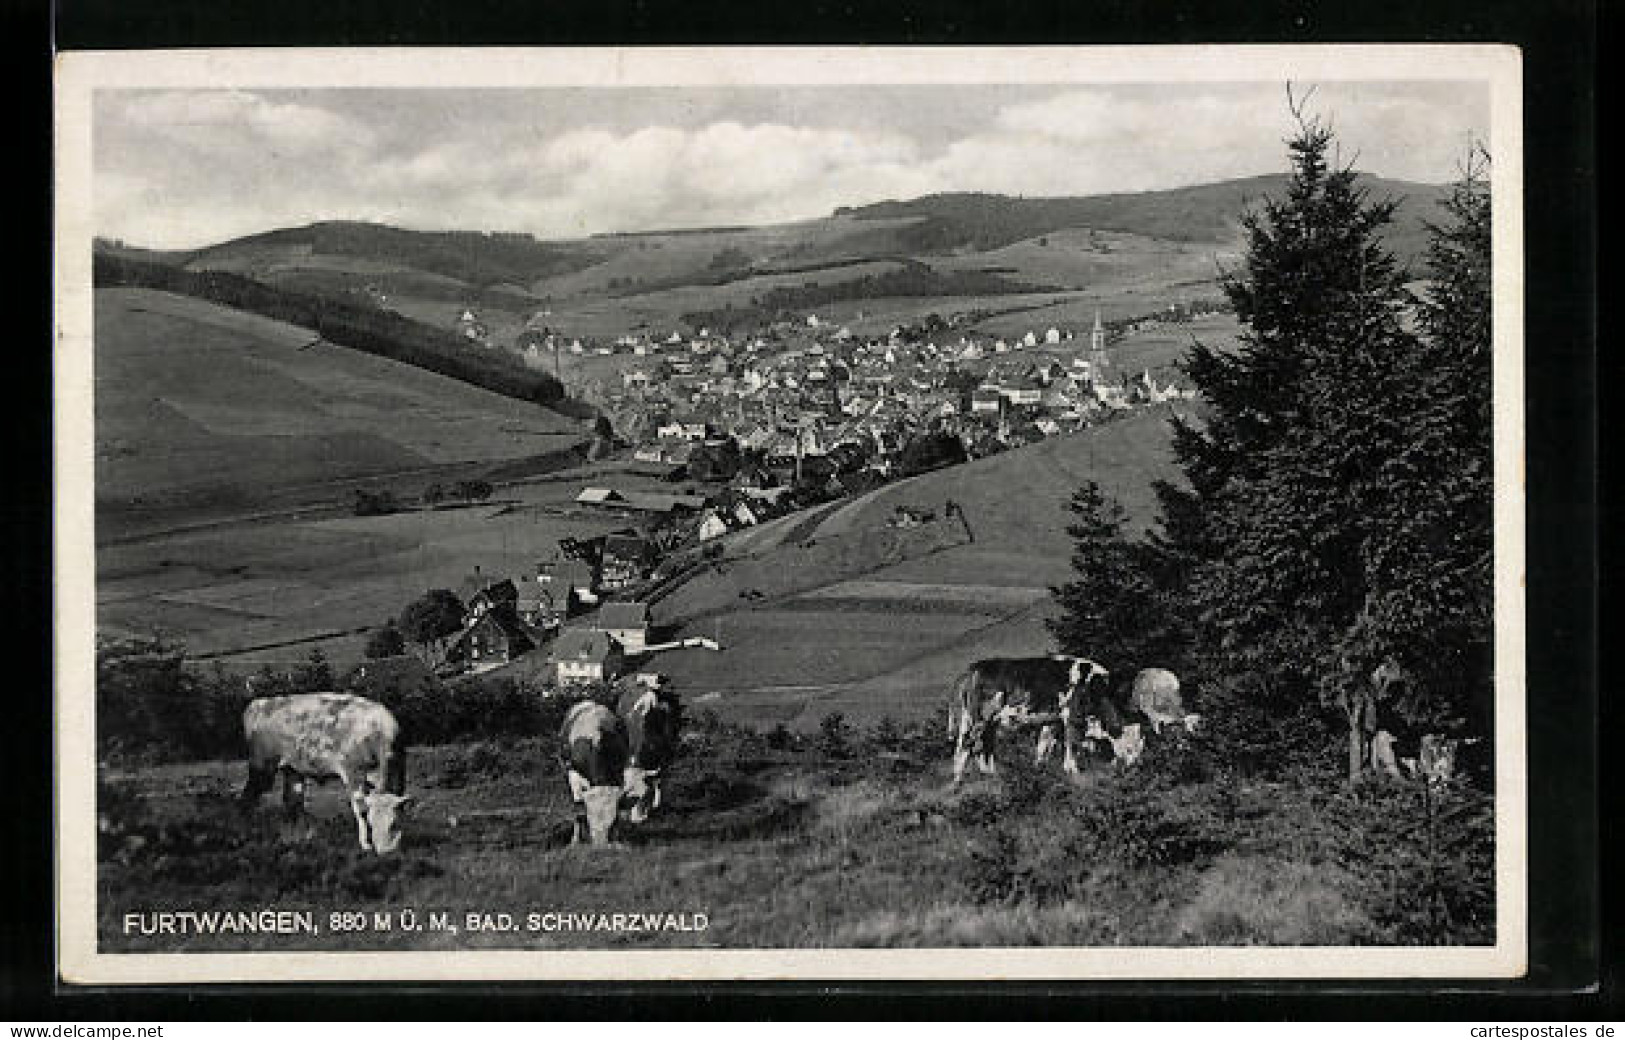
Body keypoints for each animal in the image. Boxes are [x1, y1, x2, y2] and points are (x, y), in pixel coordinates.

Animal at [238, 689, 409, 851]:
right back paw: (246, 831)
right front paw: (365, 844)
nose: (386, 851)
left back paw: (296, 837)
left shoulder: (400, 769)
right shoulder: (353, 772)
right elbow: (360, 810)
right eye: (372, 822)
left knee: (292, 801)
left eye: (394, 823)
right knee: (248, 797)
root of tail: (260, 702)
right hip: (262, 767)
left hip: (293, 770)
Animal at [611, 682, 682, 819]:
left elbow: (659, 779)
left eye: (645, 795)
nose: (636, 820)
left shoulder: (667, 754)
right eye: (627, 798)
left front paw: (656, 804)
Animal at [949, 653, 1111, 783]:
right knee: (966, 745)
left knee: (978, 746)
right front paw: (1074, 773)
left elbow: (1044, 746)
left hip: (981, 721)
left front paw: (1040, 770)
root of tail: (973, 668)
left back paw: (989, 775)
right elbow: (1072, 744)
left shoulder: (1052, 720)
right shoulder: (1072, 716)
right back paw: (958, 781)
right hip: (981, 718)